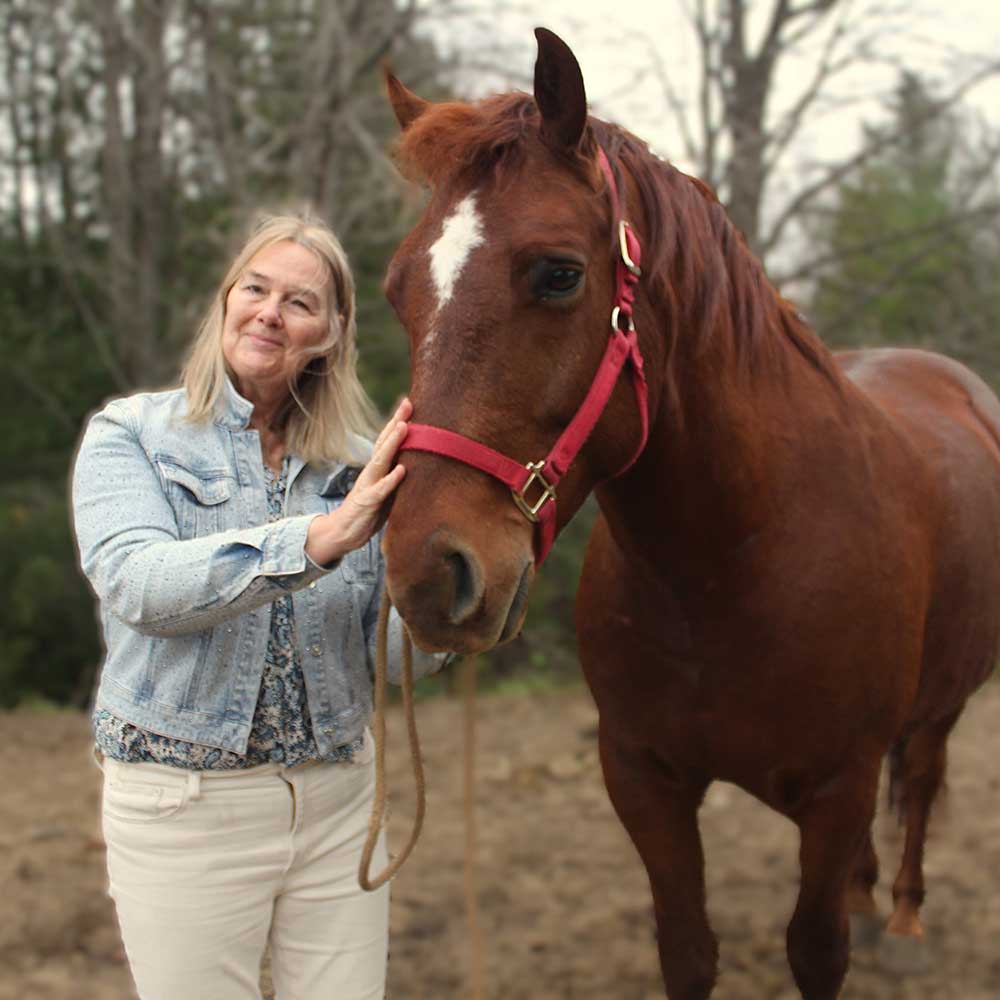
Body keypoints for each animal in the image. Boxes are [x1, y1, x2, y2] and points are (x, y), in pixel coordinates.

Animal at [374, 27, 1000, 996]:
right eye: (399, 289)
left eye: (559, 274)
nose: (428, 574)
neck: (733, 564)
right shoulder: (643, 779)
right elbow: (688, 948)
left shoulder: (838, 787)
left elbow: (817, 948)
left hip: (941, 708)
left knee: (924, 783)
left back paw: (900, 920)